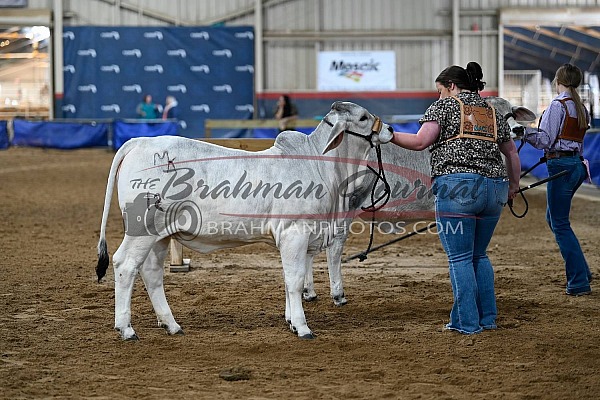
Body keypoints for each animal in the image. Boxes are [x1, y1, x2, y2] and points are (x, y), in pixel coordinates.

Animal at [95, 101, 394, 340]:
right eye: (363, 117)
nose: (390, 129)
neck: (320, 166)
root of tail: (140, 142)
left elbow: (288, 278)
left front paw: (290, 321)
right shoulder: (295, 233)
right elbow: (295, 280)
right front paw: (302, 327)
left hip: (160, 235)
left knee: (152, 273)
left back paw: (172, 325)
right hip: (142, 230)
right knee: (125, 265)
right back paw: (126, 329)